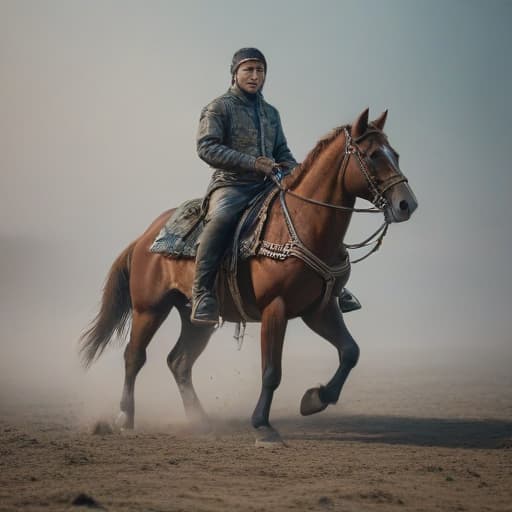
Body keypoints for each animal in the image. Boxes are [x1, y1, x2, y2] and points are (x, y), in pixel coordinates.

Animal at [79, 108, 416, 444]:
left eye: (396, 154)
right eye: (373, 155)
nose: (406, 204)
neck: (302, 225)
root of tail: (144, 238)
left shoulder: (320, 309)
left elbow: (350, 352)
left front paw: (315, 399)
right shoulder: (275, 308)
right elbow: (272, 371)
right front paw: (263, 427)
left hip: (196, 319)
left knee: (179, 361)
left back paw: (200, 421)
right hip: (149, 309)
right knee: (134, 356)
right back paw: (124, 418)